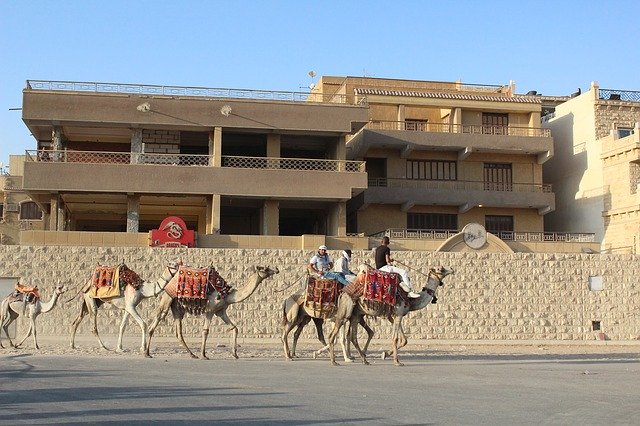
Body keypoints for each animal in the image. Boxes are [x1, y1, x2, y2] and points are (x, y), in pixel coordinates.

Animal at [146, 264, 278, 358]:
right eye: (265, 269)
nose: (276, 270)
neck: (227, 295)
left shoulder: (221, 311)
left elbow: (234, 328)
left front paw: (235, 354)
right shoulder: (210, 310)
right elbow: (205, 331)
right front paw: (204, 355)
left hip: (177, 308)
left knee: (179, 332)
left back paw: (192, 354)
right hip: (167, 298)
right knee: (157, 319)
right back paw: (147, 353)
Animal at [324, 264, 456, 364]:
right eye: (440, 269)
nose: (452, 269)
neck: (411, 300)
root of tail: (343, 292)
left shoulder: (395, 315)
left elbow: (404, 339)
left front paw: (386, 354)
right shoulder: (398, 313)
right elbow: (395, 338)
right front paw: (397, 361)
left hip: (356, 314)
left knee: (352, 337)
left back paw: (364, 360)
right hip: (346, 310)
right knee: (334, 334)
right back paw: (334, 361)